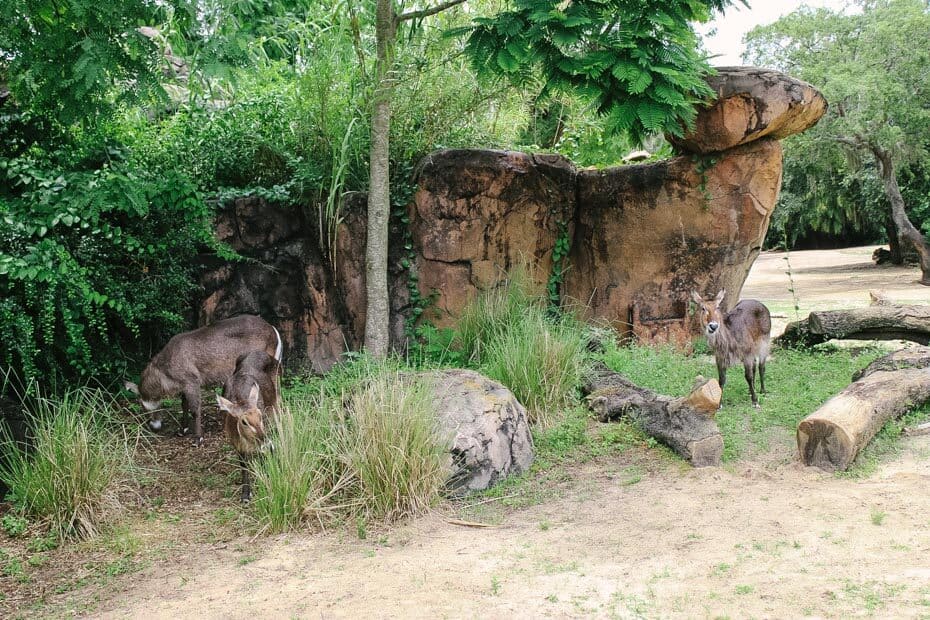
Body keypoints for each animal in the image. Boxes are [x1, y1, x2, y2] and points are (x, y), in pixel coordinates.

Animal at [125, 314, 280, 446]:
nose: (154, 427)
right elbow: (184, 406)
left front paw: (198, 438)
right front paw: (182, 430)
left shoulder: (192, 382)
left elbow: (195, 409)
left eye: (142, 406)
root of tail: (273, 329)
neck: (165, 373)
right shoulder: (184, 386)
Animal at [216, 352, 280, 502]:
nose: (266, 443)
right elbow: (244, 465)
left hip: (276, 401)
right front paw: (245, 494)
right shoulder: (236, 444)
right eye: (244, 421)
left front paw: (267, 478)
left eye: (259, 415)